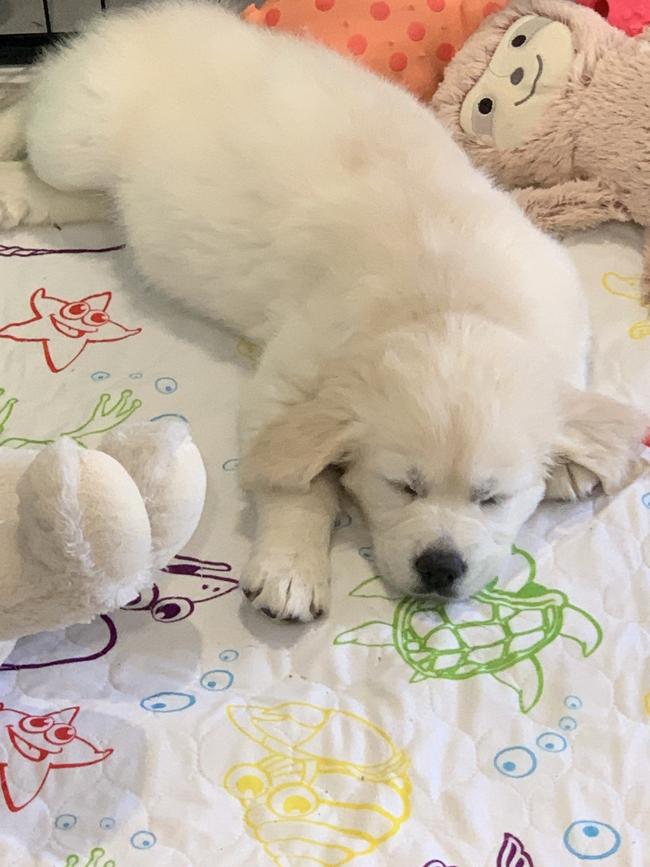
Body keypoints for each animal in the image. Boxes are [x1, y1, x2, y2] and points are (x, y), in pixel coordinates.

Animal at [0, 1, 640, 624]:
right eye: (401, 487)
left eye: (493, 498)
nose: (441, 568)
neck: (448, 300)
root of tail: (132, 21)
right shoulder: (290, 375)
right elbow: (296, 483)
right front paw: (291, 569)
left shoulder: (557, 295)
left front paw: (575, 456)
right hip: (75, 135)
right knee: (34, 106)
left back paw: (15, 195)